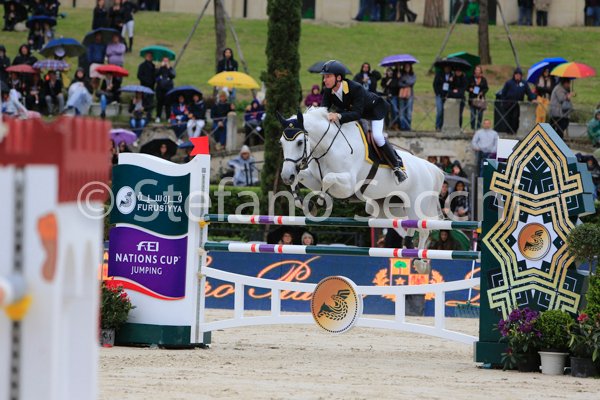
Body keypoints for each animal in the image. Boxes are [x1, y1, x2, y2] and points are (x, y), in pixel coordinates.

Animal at [278, 107, 445, 253]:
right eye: (281, 143)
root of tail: (430, 167)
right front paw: (303, 202)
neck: (327, 149)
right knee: (406, 226)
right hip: (389, 208)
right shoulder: (313, 179)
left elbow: (327, 179)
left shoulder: (348, 185)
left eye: (300, 142)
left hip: (417, 206)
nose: (286, 176)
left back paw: (420, 261)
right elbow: (302, 177)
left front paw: (320, 202)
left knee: (423, 229)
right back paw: (408, 248)